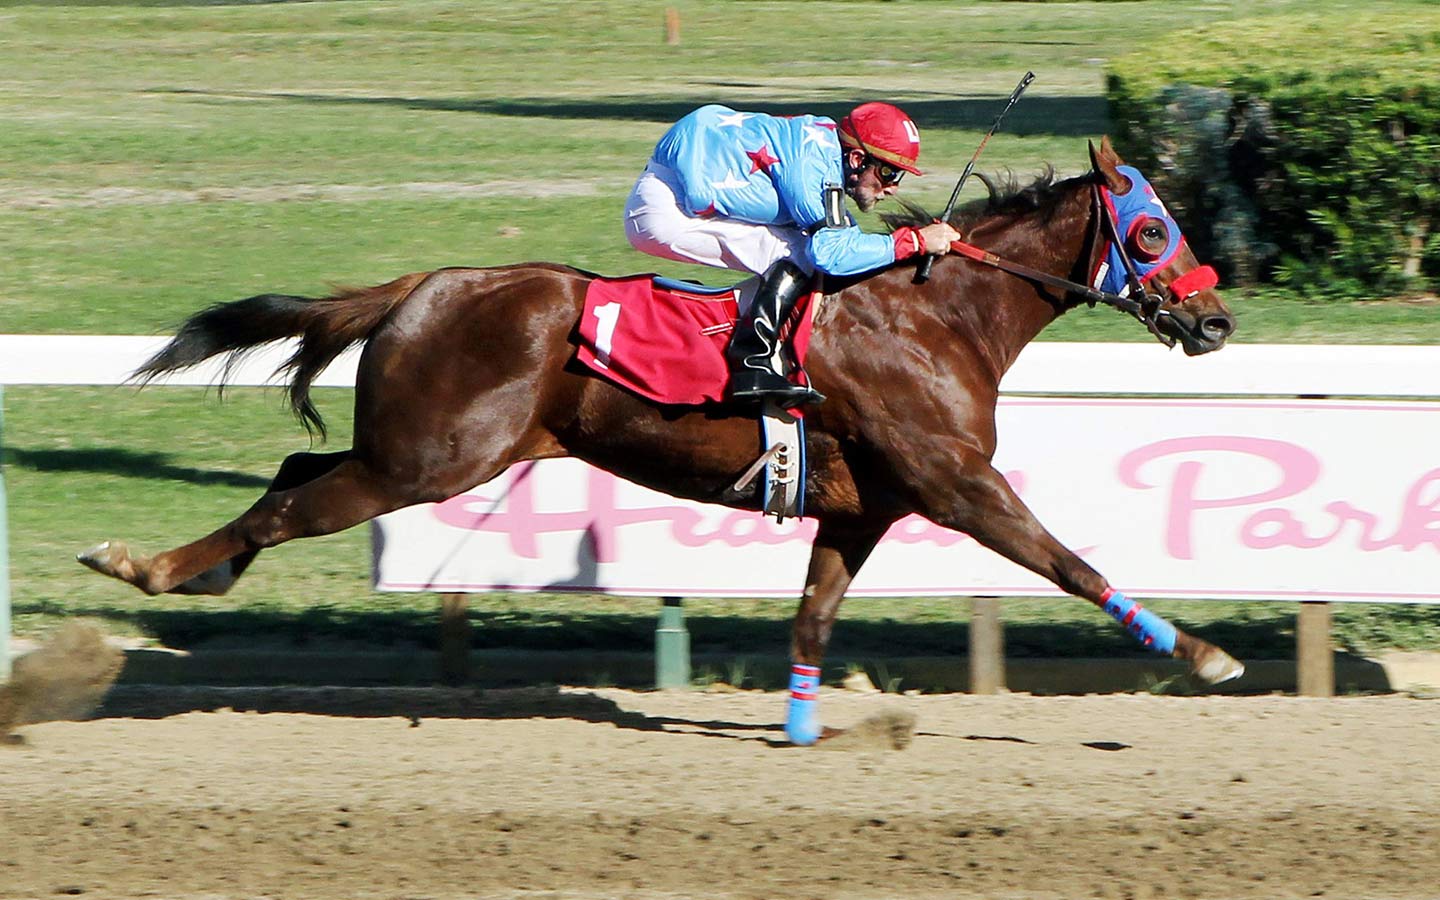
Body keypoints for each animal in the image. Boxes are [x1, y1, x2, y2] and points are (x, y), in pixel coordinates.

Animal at [81, 140, 1238, 743]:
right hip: (428, 459)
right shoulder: (956, 483)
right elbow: (1069, 561)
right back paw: (143, 565)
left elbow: (815, 615)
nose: (1217, 321)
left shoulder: (865, 507)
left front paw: (807, 725)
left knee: (291, 474)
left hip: (417, 454)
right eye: (1150, 230)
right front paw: (1200, 653)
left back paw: (194, 573)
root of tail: (419, 287)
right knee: (287, 501)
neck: (935, 315)